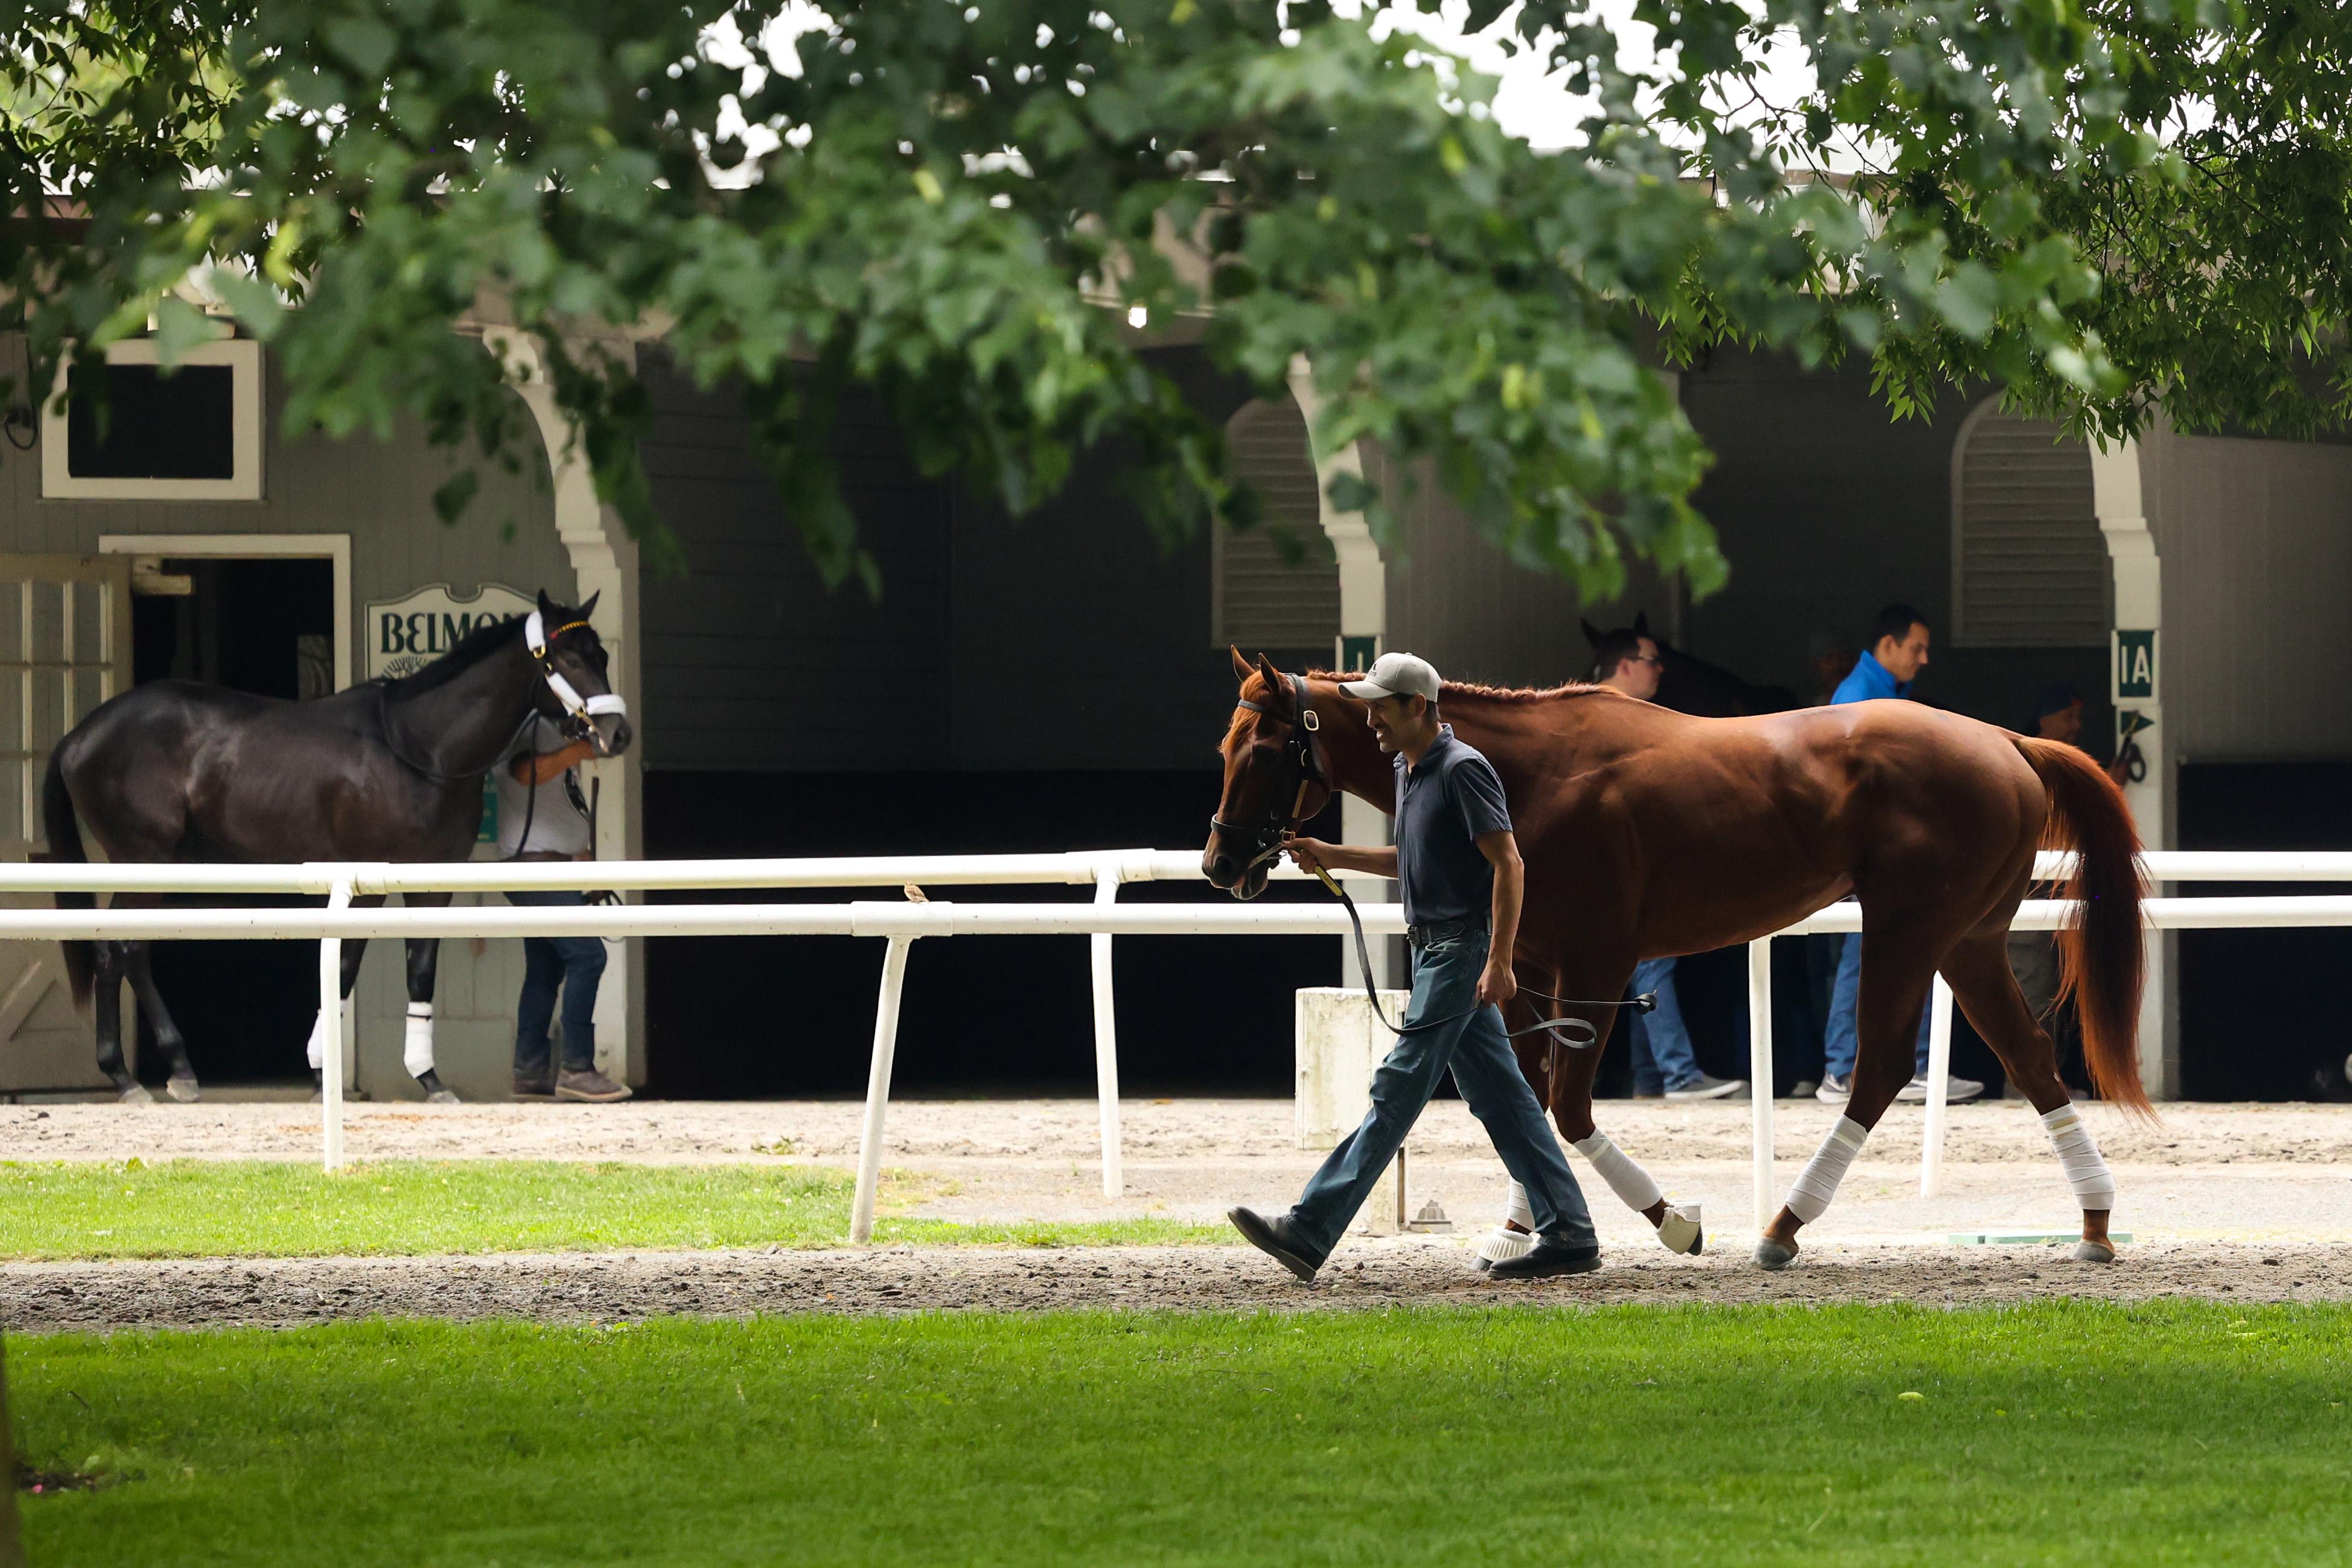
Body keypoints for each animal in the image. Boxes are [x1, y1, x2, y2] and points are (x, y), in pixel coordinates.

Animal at [46, 592, 635, 1104]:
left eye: (602, 655)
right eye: (566, 658)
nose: (618, 734)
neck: (419, 747)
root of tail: (79, 735)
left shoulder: (431, 883)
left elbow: (419, 973)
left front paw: (427, 1079)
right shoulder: (364, 881)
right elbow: (346, 965)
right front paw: (323, 1073)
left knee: (120, 952)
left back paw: (139, 1075)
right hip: (144, 857)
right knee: (123, 950)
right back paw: (157, 1074)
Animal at [1213, 653, 2154, 1278]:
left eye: (1261, 750)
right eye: (1226, 746)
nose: (1222, 864)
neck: (1532, 775)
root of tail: (2006, 741)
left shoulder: (1598, 960)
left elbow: (1567, 1106)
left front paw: (1669, 1223)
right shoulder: (1521, 968)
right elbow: (1522, 1101)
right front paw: (1525, 1231)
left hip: (1907, 930)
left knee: (1883, 1067)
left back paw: (1782, 1226)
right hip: (1968, 939)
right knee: (2030, 1058)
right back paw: (2095, 1221)